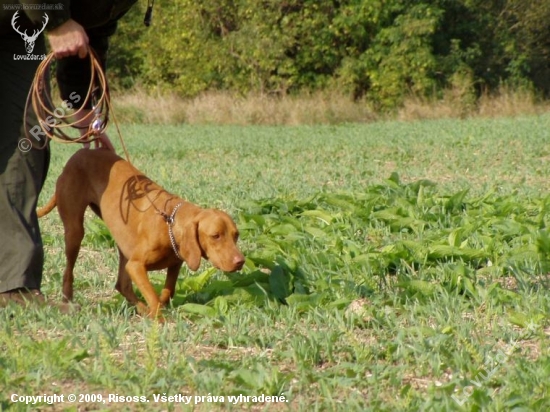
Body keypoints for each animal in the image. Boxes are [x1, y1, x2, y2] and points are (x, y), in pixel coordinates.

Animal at [38, 150, 246, 320]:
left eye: (236, 235)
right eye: (216, 235)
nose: (240, 261)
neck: (170, 221)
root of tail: (76, 155)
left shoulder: (175, 263)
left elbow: (167, 292)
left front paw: (158, 310)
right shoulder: (136, 266)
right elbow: (152, 296)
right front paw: (160, 320)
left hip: (122, 243)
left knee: (122, 285)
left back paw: (142, 310)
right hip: (75, 231)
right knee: (69, 272)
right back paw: (68, 301)